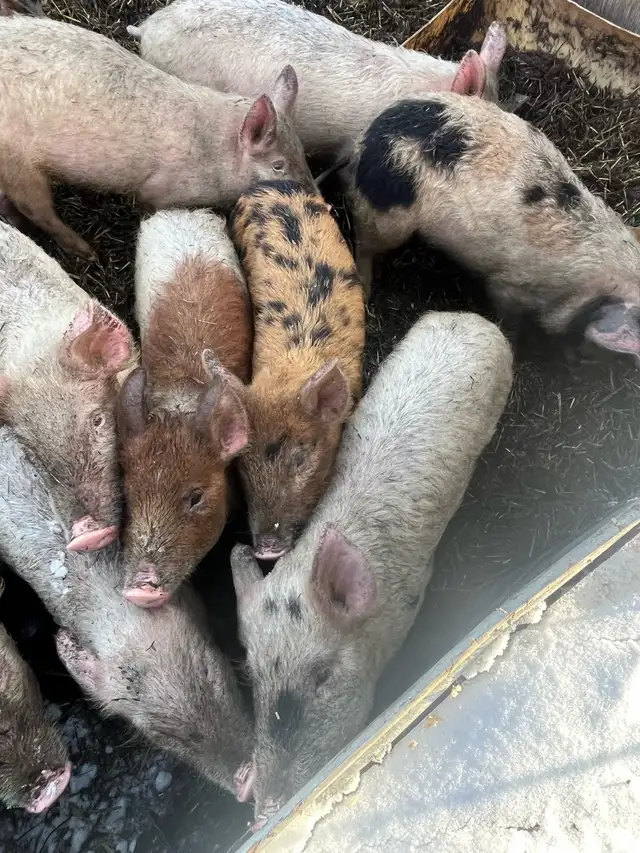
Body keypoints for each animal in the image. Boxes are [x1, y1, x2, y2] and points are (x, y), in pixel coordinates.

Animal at [0, 16, 315, 260]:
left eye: (301, 151)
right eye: (278, 165)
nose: (319, 199)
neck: (215, 153)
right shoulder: (158, 190)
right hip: (19, 164)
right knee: (36, 208)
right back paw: (88, 253)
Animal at [346, 93, 640, 357]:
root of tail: (369, 135)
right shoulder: (508, 284)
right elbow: (508, 318)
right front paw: (515, 346)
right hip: (386, 216)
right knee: (363, 246)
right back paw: (366, 290)